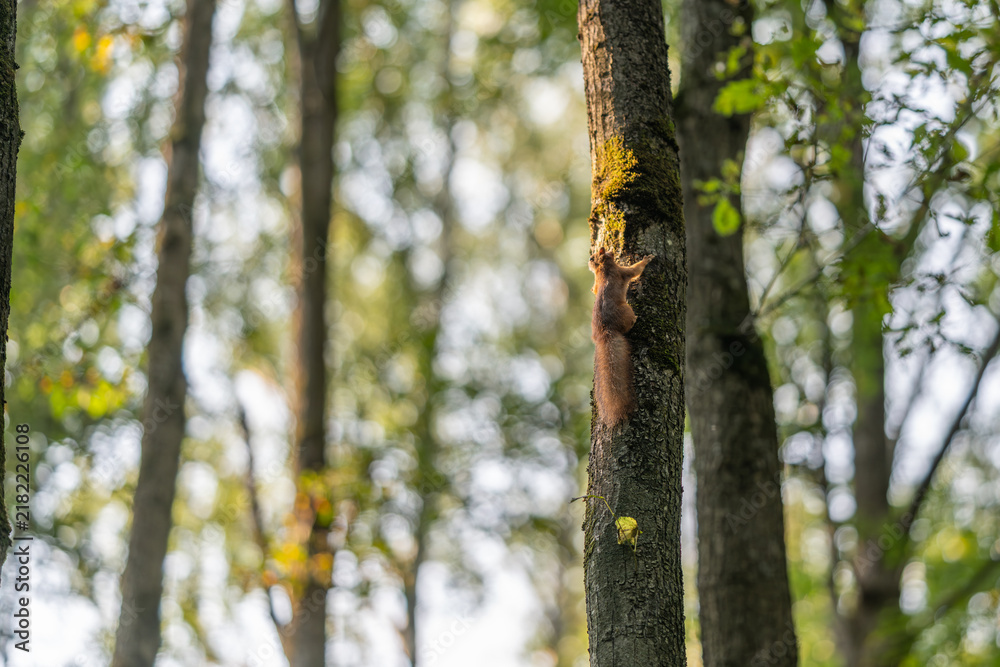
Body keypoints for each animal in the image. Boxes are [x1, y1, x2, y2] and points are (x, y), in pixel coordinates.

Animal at [589, 247, 654, 426]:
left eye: (591, 257)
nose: (588, 261)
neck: (604, 268)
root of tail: (605, 332)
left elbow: (595, 288)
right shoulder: (622, 272)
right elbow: (636, 270)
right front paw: (647, 259)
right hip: (627, 310)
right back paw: (635, 319)